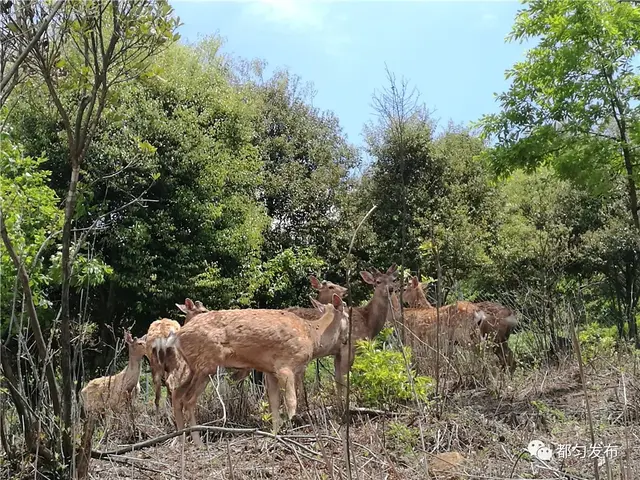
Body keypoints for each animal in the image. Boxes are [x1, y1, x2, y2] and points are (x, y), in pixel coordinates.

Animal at [160, 292, 350, 446]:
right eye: (348, 315)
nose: (347, 339)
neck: (313, 337)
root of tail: (178, 335)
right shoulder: (285, 366)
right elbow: (291, 402)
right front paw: (292, 431)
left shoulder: (270, 371)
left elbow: (274, 404)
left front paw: (276, 434)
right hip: (206, 364)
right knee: (188, 399)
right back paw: (198, 443)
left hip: (194, 367)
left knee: (177, 394)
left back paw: (183, 441)